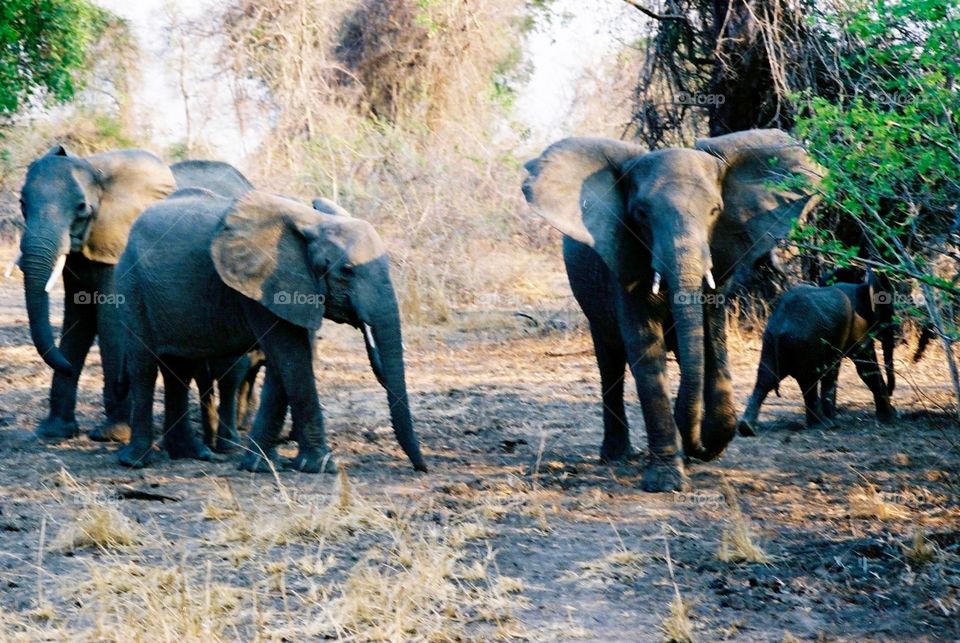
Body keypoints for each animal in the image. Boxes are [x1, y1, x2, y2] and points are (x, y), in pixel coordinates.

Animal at [114, 186, 426, 472]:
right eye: (346, 271)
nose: (421, 468)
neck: (313, 222)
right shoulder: (261, 284)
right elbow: (290, 357)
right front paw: (320, 466)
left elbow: (284, 362)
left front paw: (261, 464)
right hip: (131, 285)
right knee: (144, 366)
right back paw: (136, 461)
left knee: (179, 369)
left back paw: (193, 454)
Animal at [524, 130, 824, 494]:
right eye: (640, 214)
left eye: (715, 211)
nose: (699, 447)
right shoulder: (624, 262)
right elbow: (646, 351)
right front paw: (666, 482)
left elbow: (711, 342)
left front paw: (707, 440)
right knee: (610, 361)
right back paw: (616, 456)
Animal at [736, 270, 900, 436]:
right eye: (889, 313)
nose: (891, 391)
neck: (862, 286)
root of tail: (780, 325)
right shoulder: (858, 326)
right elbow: (866, 367)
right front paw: (891, 417)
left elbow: (833, 370)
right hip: (804, 342)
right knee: (808, 380)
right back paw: (824, 425)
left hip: (770, 340)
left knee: (766, 377)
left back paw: (747, 428)